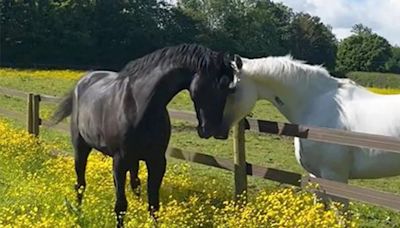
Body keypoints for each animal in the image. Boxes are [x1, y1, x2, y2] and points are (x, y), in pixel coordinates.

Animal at [51, 44, 236, 226]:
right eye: (213, 85)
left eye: (228, 88)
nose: (213, 130)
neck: (139, 105)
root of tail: (83, 81)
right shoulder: (120, 160)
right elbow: (121, 206)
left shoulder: (157, 161)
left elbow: (153, 204)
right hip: (81, 148)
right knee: (80, 184)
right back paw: (77, 214)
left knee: (134, 184)